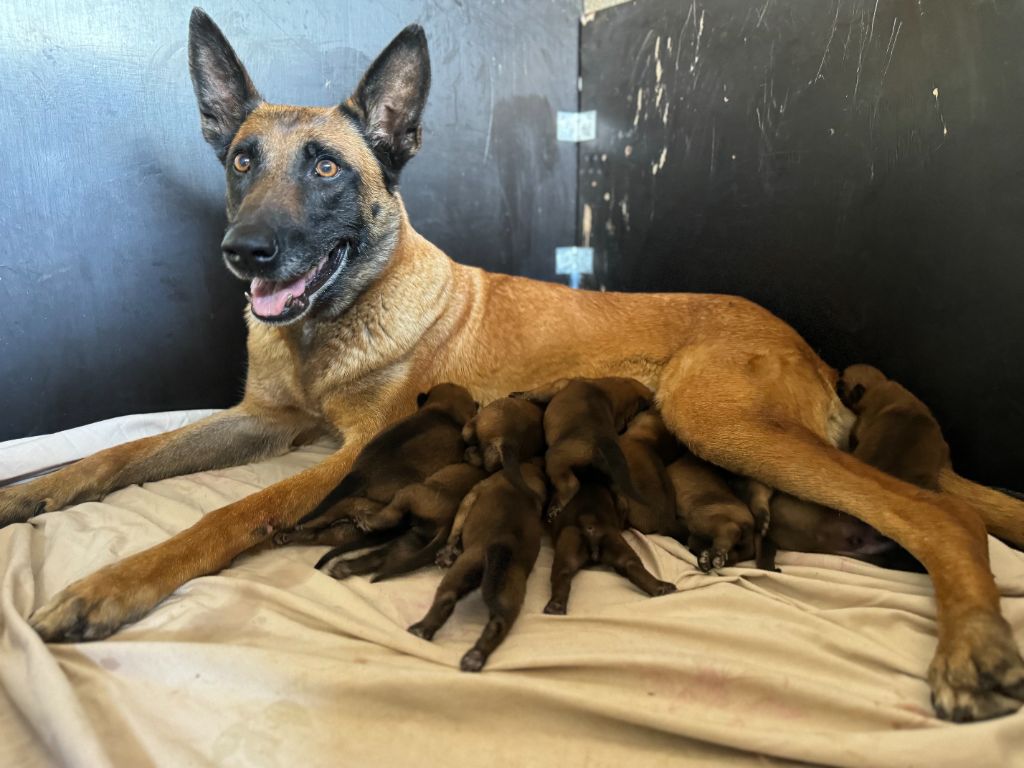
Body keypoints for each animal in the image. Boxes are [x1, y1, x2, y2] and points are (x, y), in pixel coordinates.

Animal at [409, 460, 552, 671]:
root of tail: (503, 544)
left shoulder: (470, 497)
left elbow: (455, 529)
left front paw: (447, 553)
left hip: (462, 569)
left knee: (445, 600)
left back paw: (421, 629)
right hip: (511, 590)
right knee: (499, 624)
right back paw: (474, 658)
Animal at [516, 376, 651, 518]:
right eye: (629, 417)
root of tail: (602, 444)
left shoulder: (556, 385)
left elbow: (534, 393)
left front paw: (518, 394)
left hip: (555, 458)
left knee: (572, 485)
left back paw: (555, 507)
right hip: (612, 476)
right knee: (619, 493)